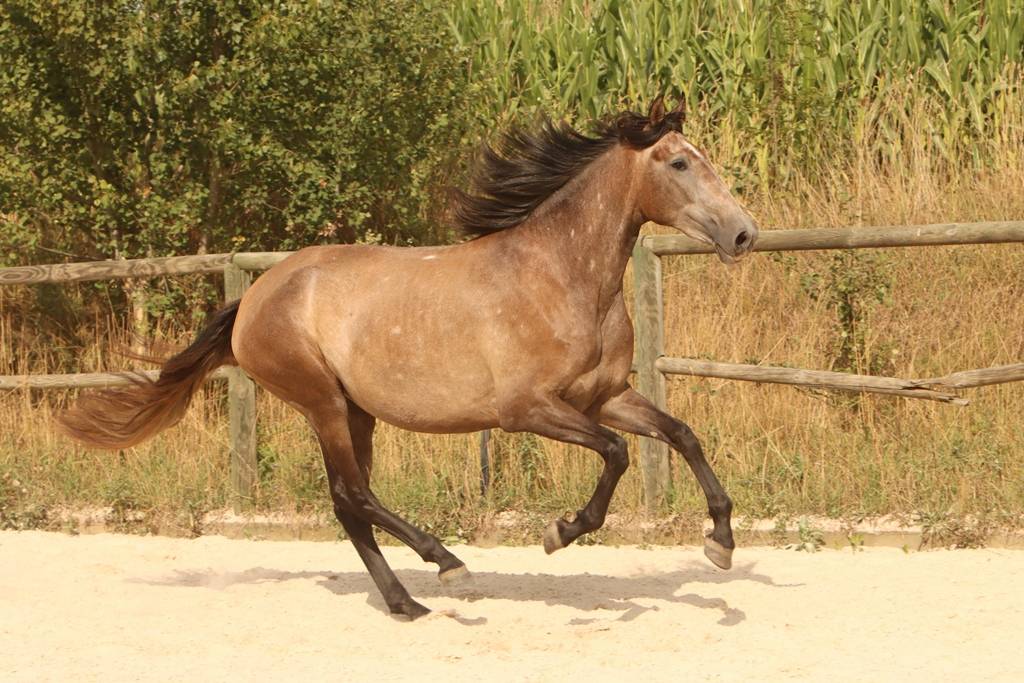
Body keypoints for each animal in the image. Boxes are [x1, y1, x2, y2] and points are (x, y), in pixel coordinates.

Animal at [59, 96, 758, 619]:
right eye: (678, 162)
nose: (744, 233)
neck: (563, 275)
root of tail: (256, 293)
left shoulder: (605, 396)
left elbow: (682, 434)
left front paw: (720, 543)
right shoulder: (525, 409)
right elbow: (615, 454)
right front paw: (559, 533)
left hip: (356, 410)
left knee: (349, 502)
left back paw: (405, 602)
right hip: (323, 402)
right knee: (353, 495)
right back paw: (445, 564)